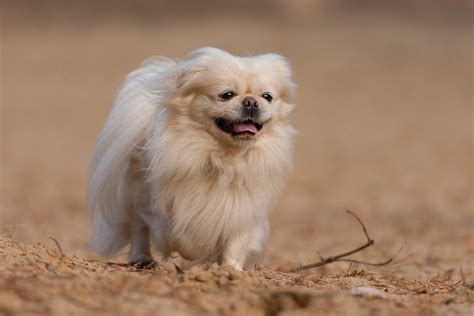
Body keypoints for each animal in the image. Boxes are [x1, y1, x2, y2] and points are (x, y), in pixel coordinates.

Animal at [87, 48, 296, 270]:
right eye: (226, 95)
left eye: (267, 97)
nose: (251, 101)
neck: (226, 158)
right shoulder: (170, 206)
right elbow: (183, 236)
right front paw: (197, 253)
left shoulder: (243, 207)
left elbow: (236, 241)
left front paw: (229, 269)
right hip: (139, 195)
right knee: (139, 228)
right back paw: (142, 259)